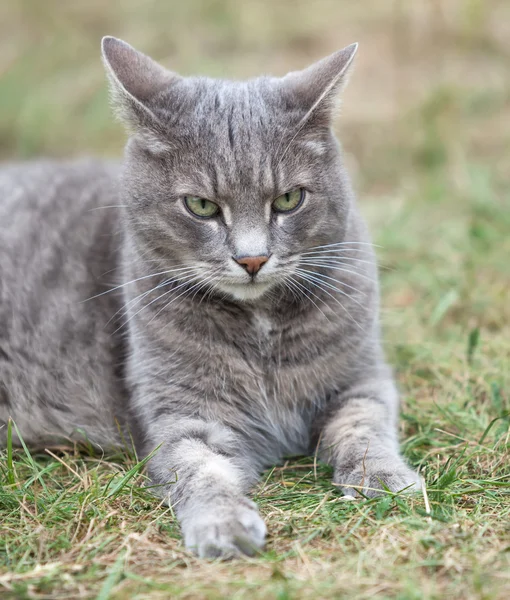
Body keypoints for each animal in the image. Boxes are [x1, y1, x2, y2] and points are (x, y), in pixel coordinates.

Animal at [0, 37, 420, 556]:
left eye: (288, 200)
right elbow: (199, 466)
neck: (260, 325)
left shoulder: (360, 377)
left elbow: (365, 427)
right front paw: (223, 523)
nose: (253, 259)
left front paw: (386, 479)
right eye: (201, 206)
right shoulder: (182, 409)